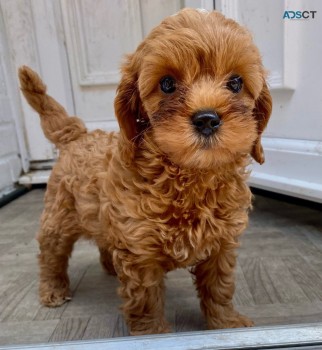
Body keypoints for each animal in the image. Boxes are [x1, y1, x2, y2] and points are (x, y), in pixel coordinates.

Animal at [18, 9, 272, 334]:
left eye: (236, 83)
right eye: (167, 84)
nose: (207, 119)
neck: (188, 176)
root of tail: (76, 134)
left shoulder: (222, 244)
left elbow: (219, 288)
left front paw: (226, 325)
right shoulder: (140, 254)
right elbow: (146, 301)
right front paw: (154, 334)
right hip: (58, 216)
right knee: (51, 254)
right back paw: (53, 288)